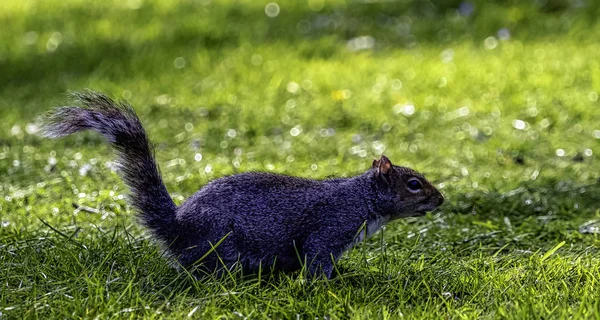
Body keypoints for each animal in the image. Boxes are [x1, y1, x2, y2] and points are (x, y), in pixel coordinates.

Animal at [39, 91, 442, 278]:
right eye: (414, 184)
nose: (440, 200)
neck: (362, 198)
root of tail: (177, 228)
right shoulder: (329, 228)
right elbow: (316, 260)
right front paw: (327, 284)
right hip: (223, 245)